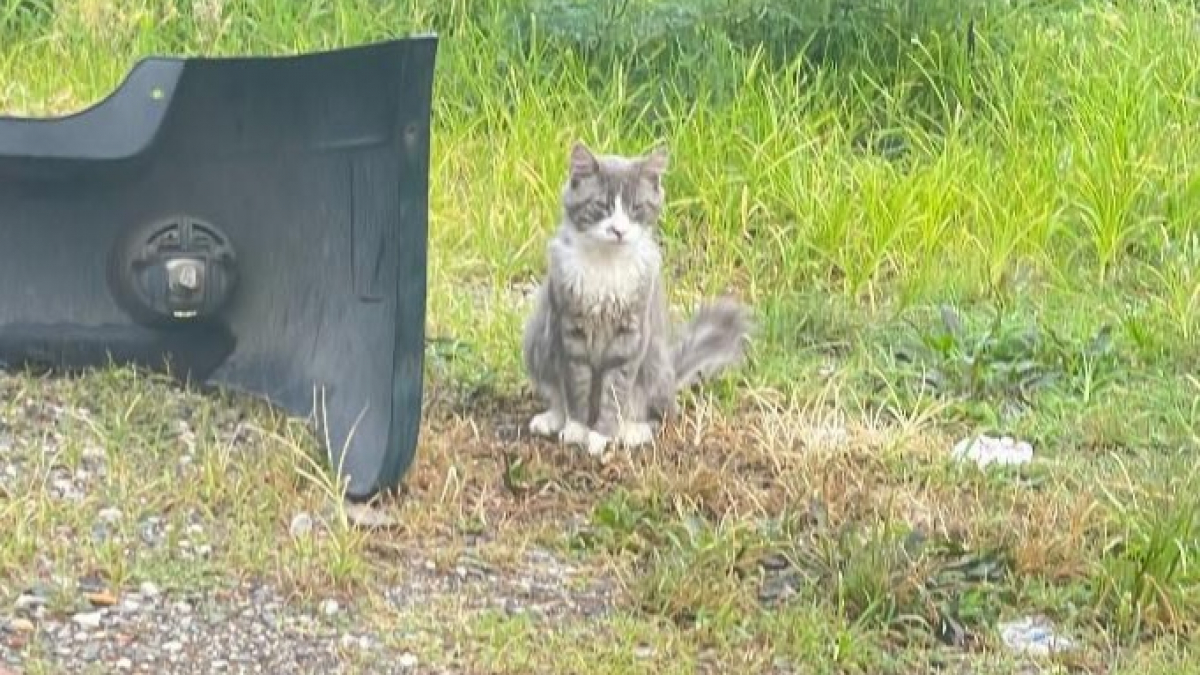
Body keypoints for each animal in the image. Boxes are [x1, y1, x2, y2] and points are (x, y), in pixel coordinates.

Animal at [523, 141, 748, 456]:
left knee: (656, 415)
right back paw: (551, 420)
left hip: (653, 365)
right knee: (557, 396)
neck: (606, 264)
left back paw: (631, 432)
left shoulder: (629, 337)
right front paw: (578, 429)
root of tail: (672, 370)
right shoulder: (570, 331)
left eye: (635, 209)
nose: (618, 230)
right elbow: (576, 388)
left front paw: (600, 436)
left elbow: (614, 394)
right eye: (602, 206)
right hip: (538, 339)